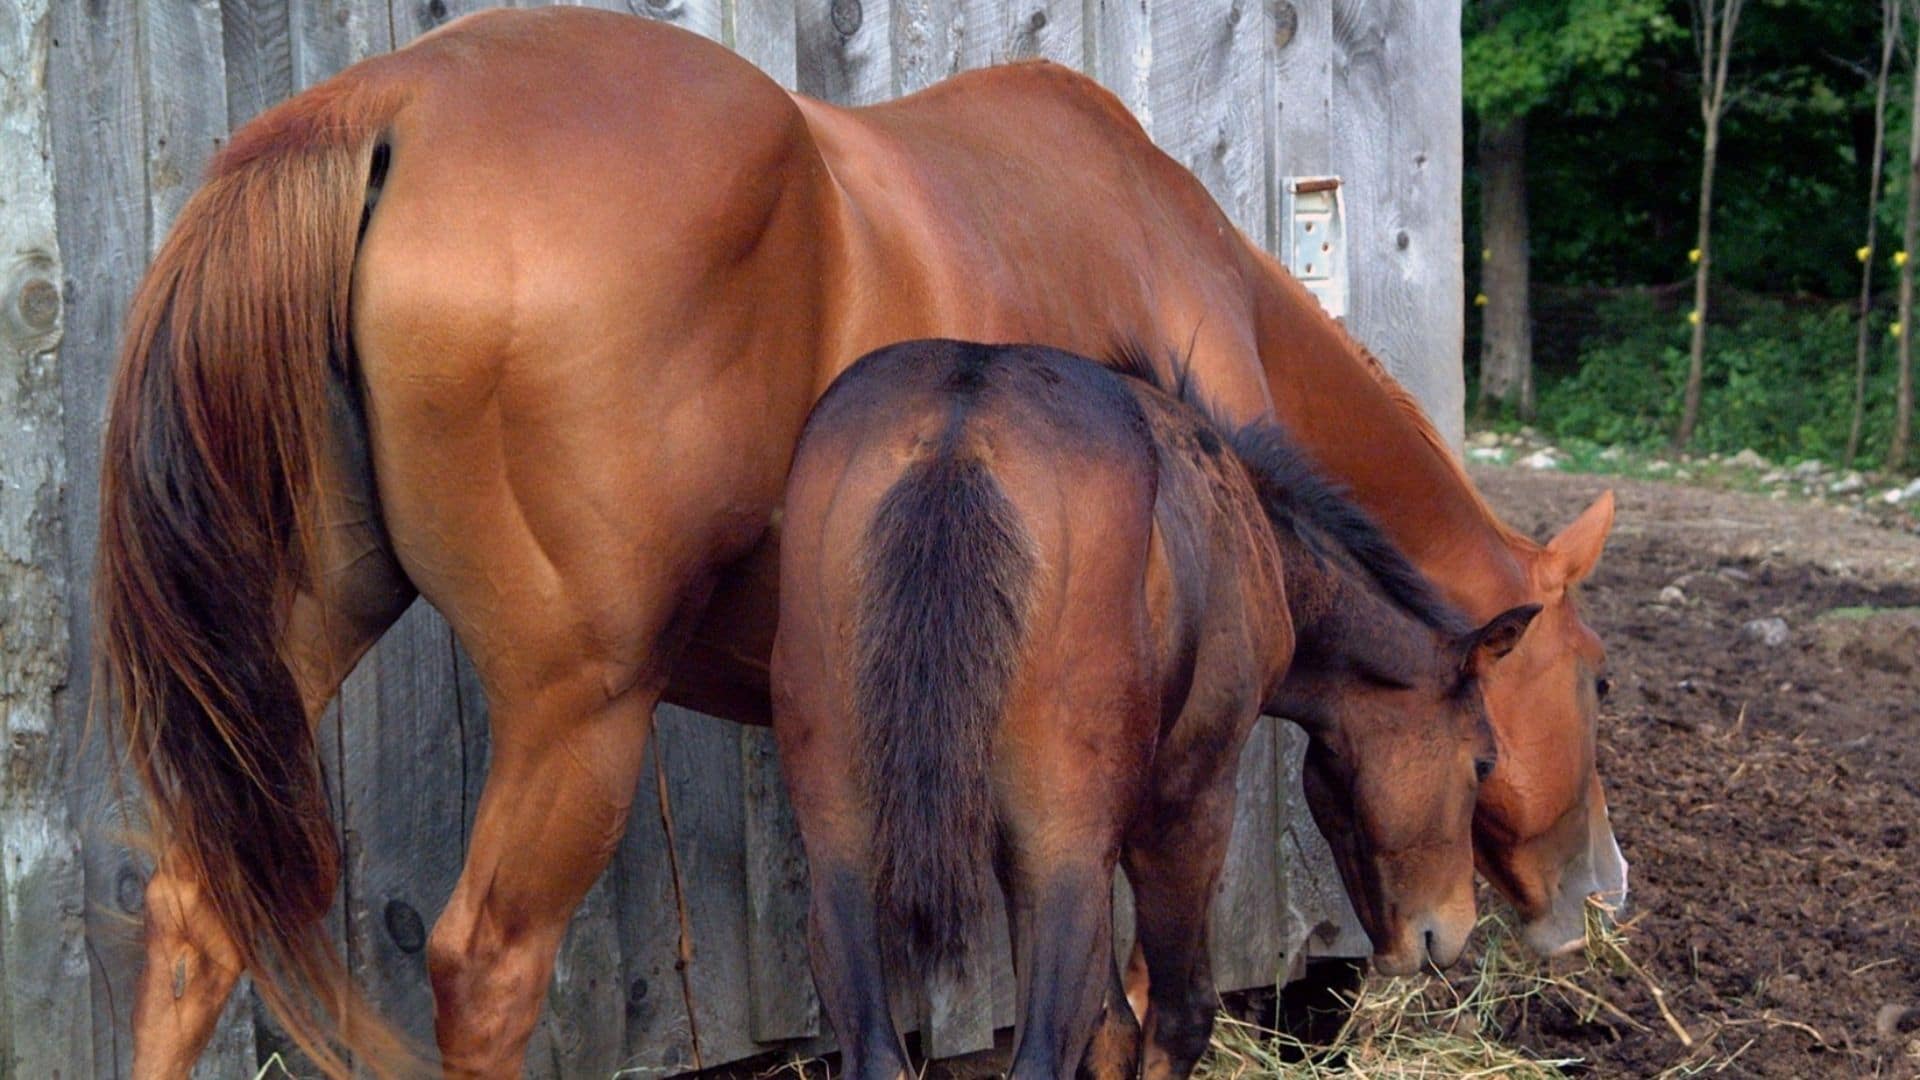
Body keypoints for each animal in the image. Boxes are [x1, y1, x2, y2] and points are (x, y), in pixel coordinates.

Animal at [771, 338, 1536, 1076]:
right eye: (1483, 762)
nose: (1448, 933)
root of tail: (958, 438)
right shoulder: (1185, 807)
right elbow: (1177, 1017)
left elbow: (1109, 1032)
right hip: (1065, 851)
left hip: (849, 848)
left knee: (879, 1052)